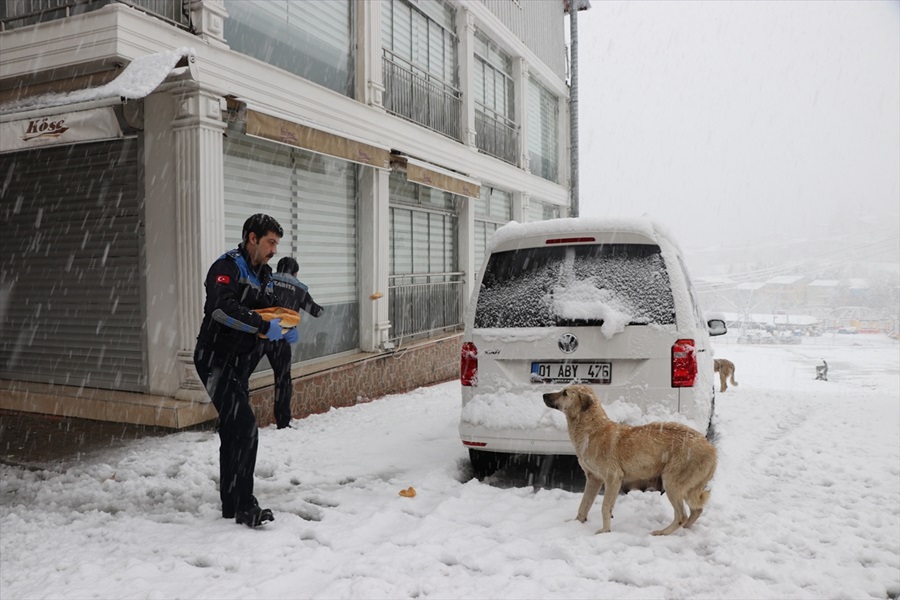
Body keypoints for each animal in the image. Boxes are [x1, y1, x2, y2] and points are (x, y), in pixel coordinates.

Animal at [540, 386, 716, 536]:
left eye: (564, 393)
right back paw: (684, 530)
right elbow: (584, 505)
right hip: (684, 487)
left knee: (682, 516)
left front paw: (605, 531)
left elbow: (605, 507)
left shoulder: (613, 478)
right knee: (696, 511)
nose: (543, 395)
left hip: (672, 483)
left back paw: (662, 533)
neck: (592, 429)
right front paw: (576, 524)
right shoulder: (593, 479)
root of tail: (711, 449)